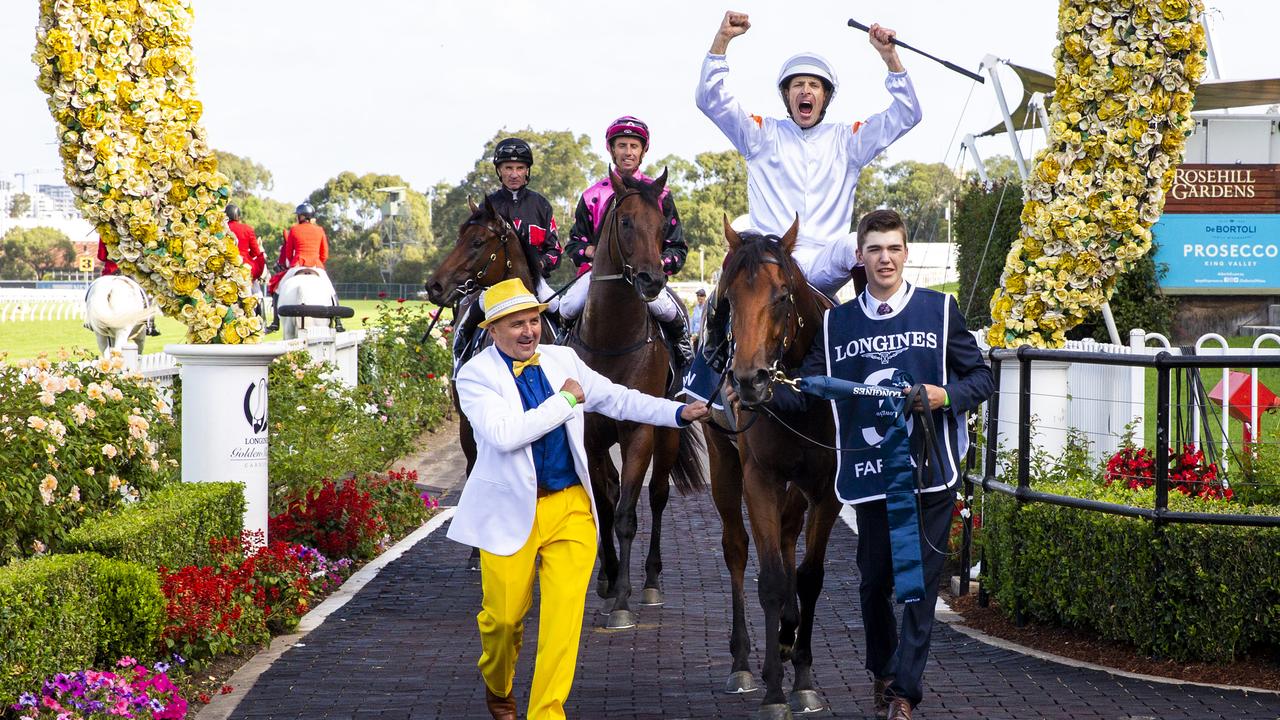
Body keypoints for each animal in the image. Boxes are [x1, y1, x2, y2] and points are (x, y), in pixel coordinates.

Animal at [573, 169, 711, 627]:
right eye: (626, 221)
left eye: (664, 224)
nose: (653, 279)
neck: (612, 342)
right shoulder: (591, 436)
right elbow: (603, 504)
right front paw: (608, 581)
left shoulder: (637, 432)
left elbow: (627, 515)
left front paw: (623, 600)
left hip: (666, 436)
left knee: (657, 496)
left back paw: (650, 581)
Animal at [706, 220, 844, 717]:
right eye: (729, 298)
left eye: (782, 295)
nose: (749, 381)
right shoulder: (760, 477)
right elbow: (768, 578)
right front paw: (772, 691)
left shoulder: (826, 487)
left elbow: (809, 576)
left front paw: (802, 678)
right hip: (723, 462)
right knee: (736, 547)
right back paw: (743, 663)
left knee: (787, 537)